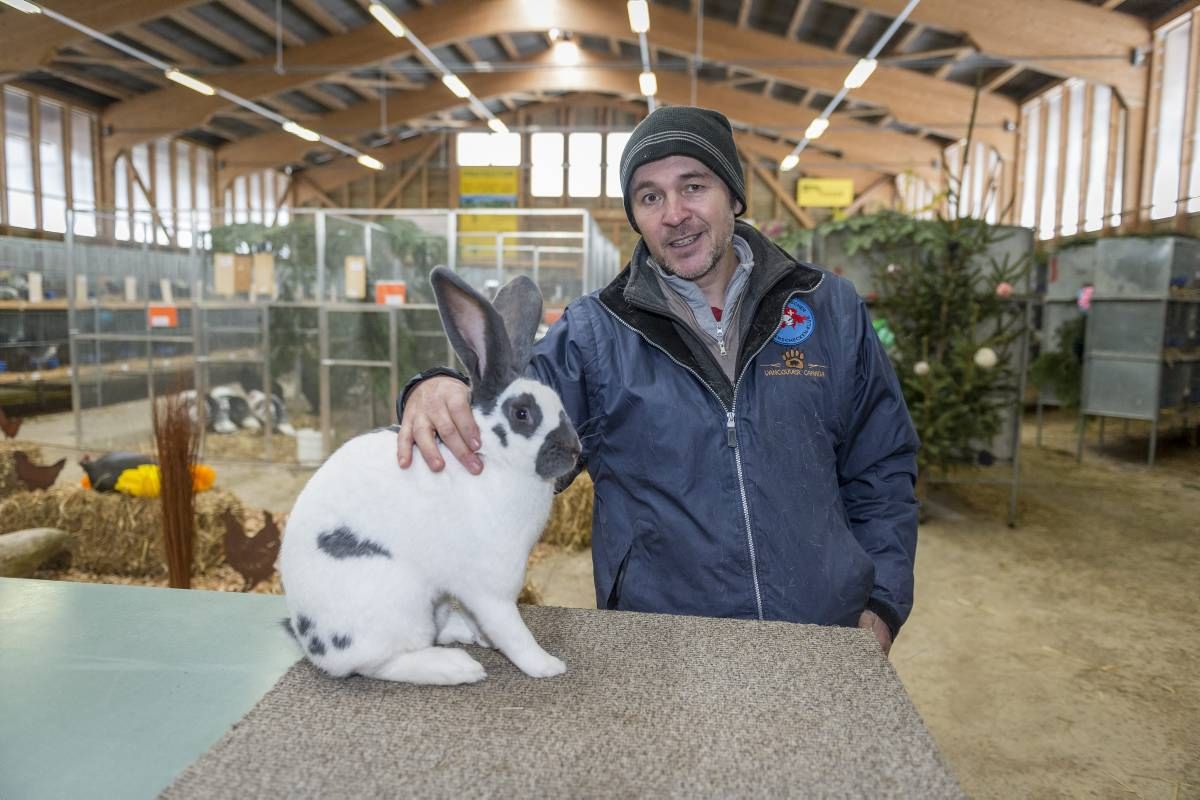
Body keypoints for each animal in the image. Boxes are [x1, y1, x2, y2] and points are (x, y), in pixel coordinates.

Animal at [280, 266, 580, 686]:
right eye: (522, 414)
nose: (575, 450)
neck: (495, 462)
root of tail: (309, 638)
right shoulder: (491, 586)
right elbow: (511, 630)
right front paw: (547, 665)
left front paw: (487, 638)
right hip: (397, 603)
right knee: (381, 663)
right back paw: (456, 667)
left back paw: (462, 635)